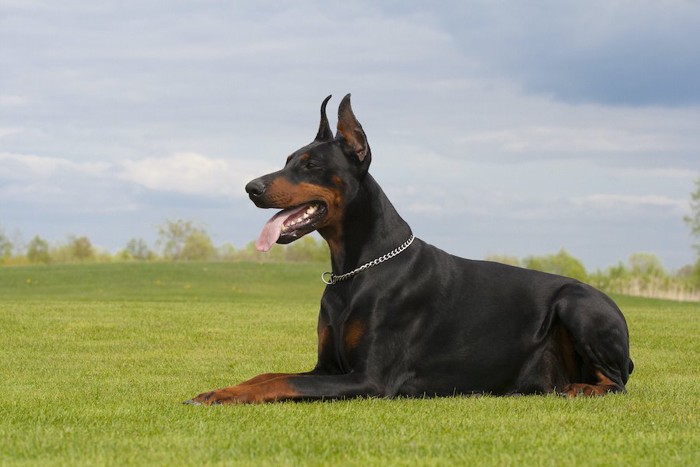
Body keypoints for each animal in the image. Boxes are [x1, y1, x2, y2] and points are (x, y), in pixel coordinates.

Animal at [186, 95, 636, 406]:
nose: (251, 187)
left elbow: (283, 381)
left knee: (616, 383)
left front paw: (222, 396)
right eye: (287, 160)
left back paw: (580, 388)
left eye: (311, 165)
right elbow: (267, 375)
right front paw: (219, 390)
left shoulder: (368, 379)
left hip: (577, 304)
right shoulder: (326, 367)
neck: (356, 270)